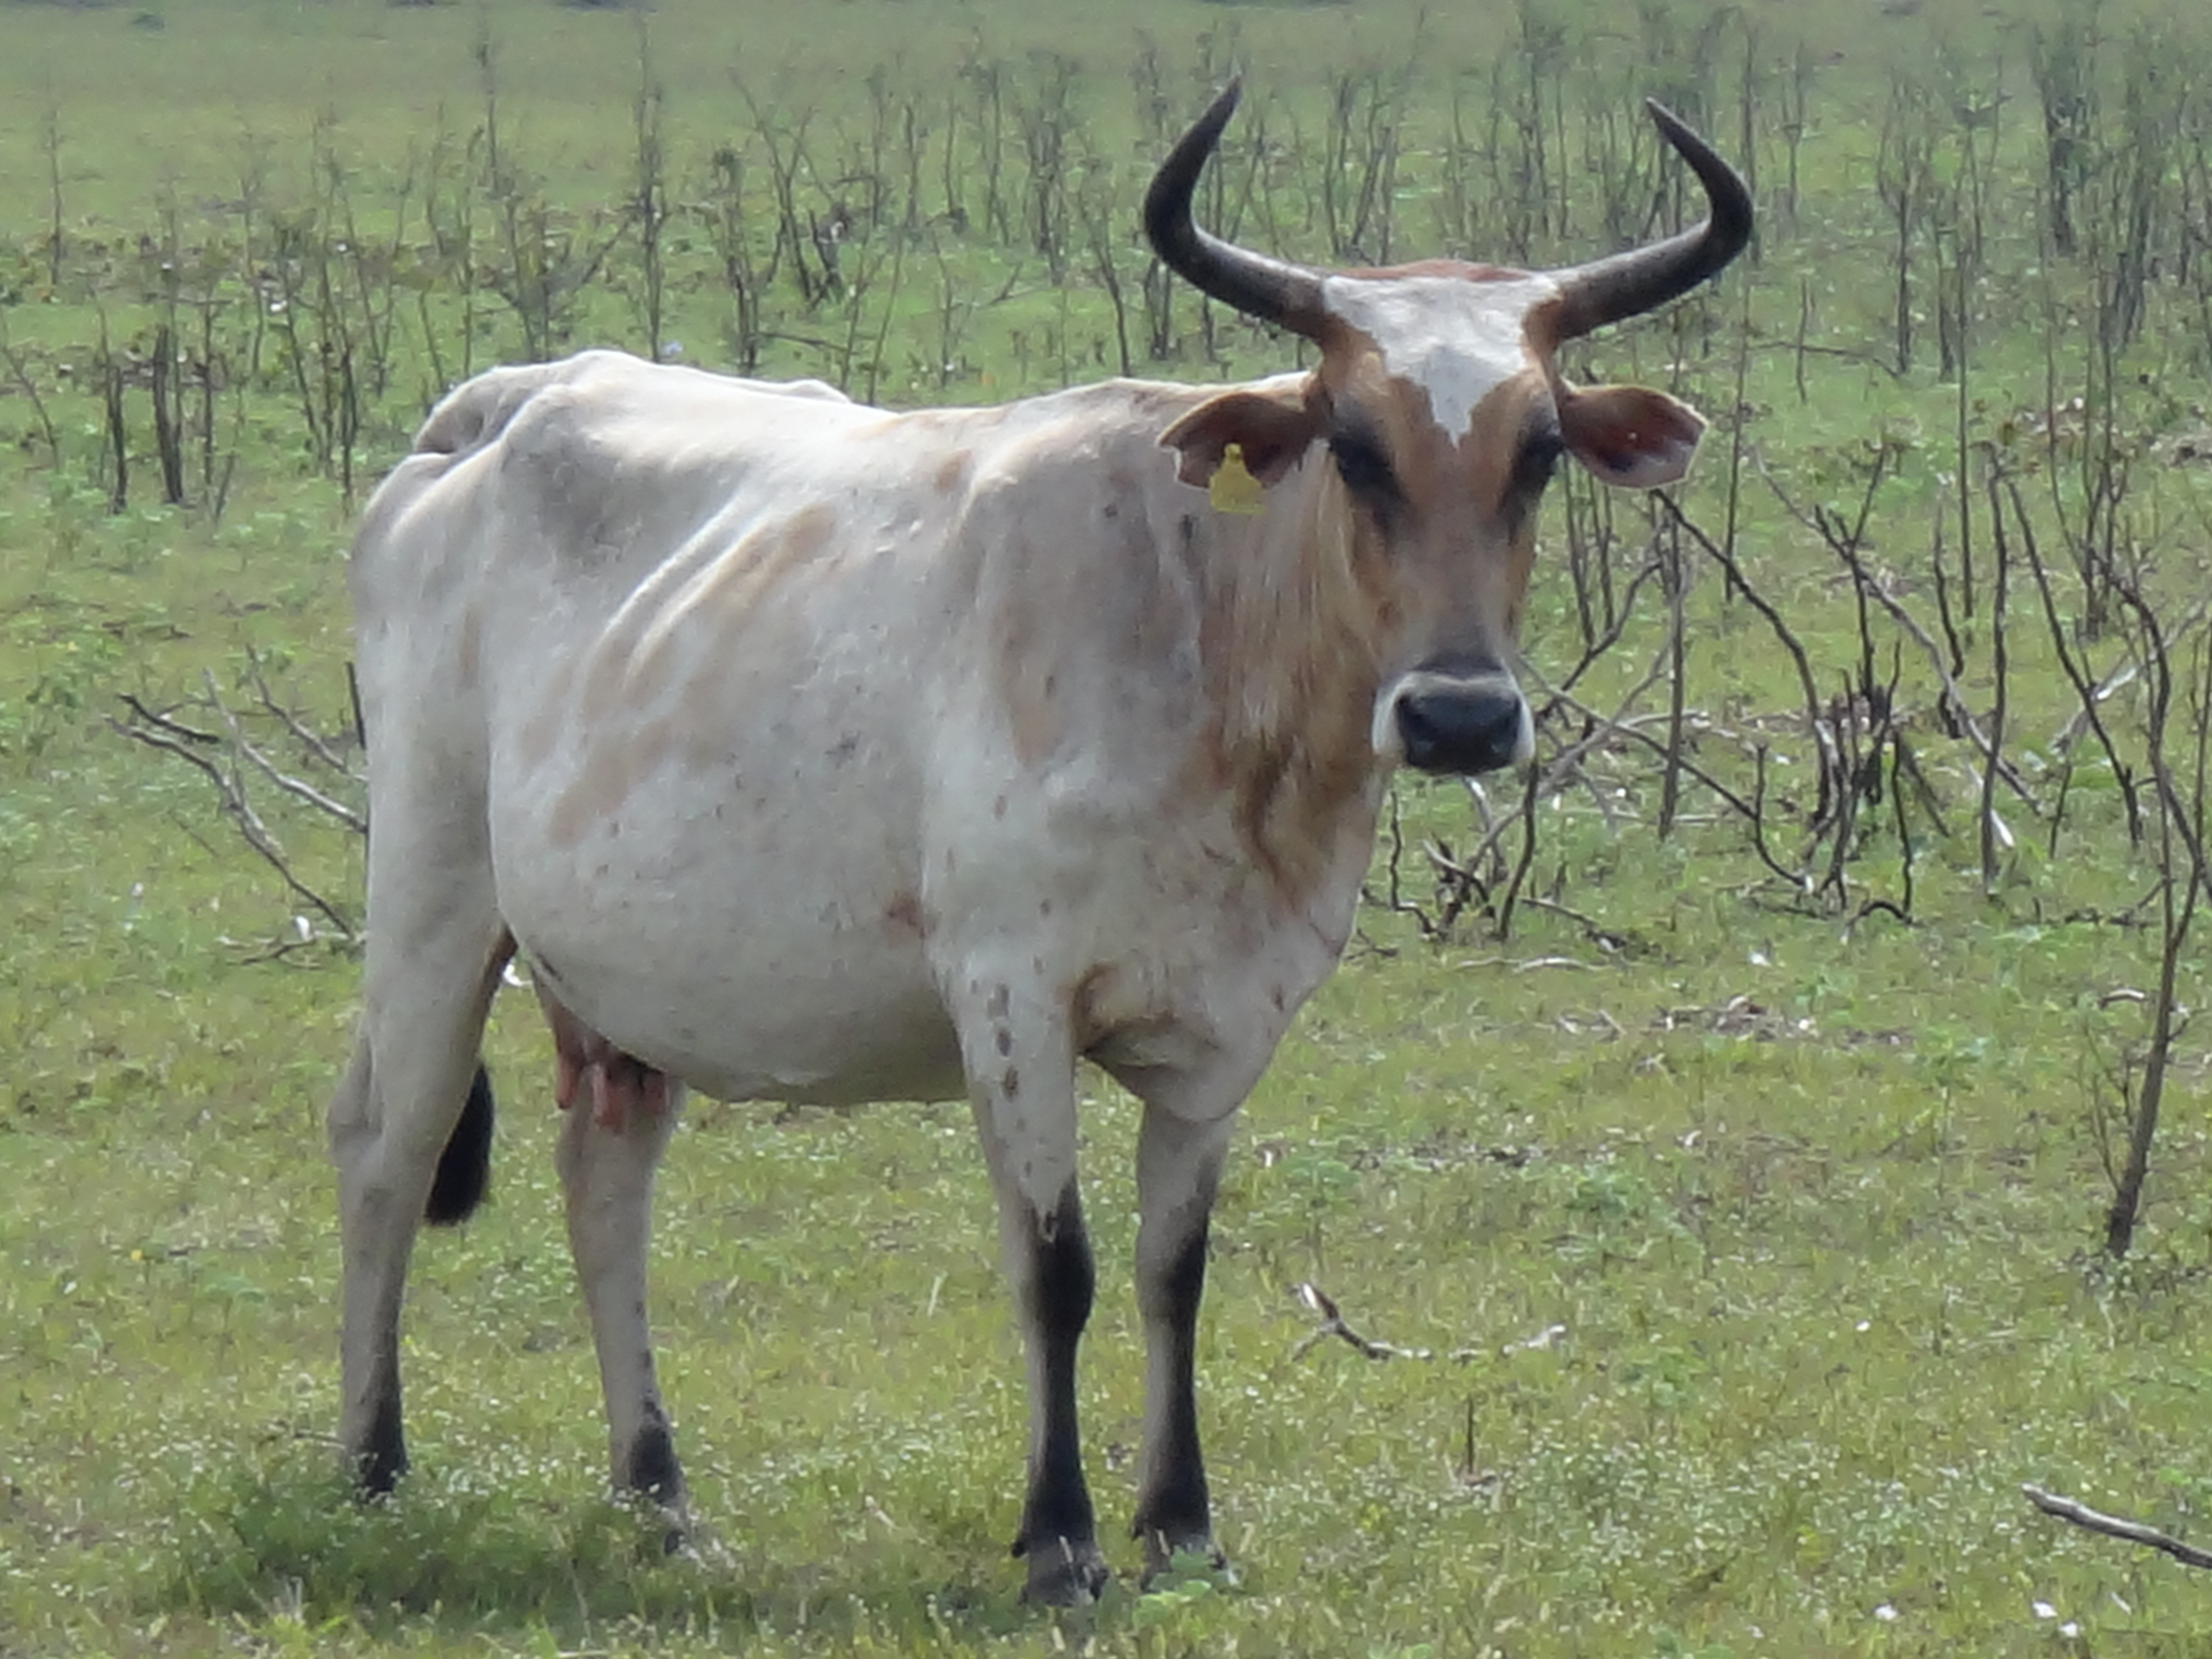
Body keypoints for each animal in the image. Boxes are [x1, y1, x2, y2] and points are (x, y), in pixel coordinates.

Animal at [332, 84, 1743, 1601]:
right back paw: (372, 1462)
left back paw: (658, 1490)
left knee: (604, 1180)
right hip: (431, 898)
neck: (1206, 641)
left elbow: (1174, 1267)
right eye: (1354, 444)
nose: (1462, 715)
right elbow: (1056, 1269)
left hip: (616, 981)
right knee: (388, 1143)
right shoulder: (1011, 996)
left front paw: (1181, 1518)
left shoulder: (1228, 1023)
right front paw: (1060, 1537)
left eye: (1539, 451)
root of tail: (501, 407)